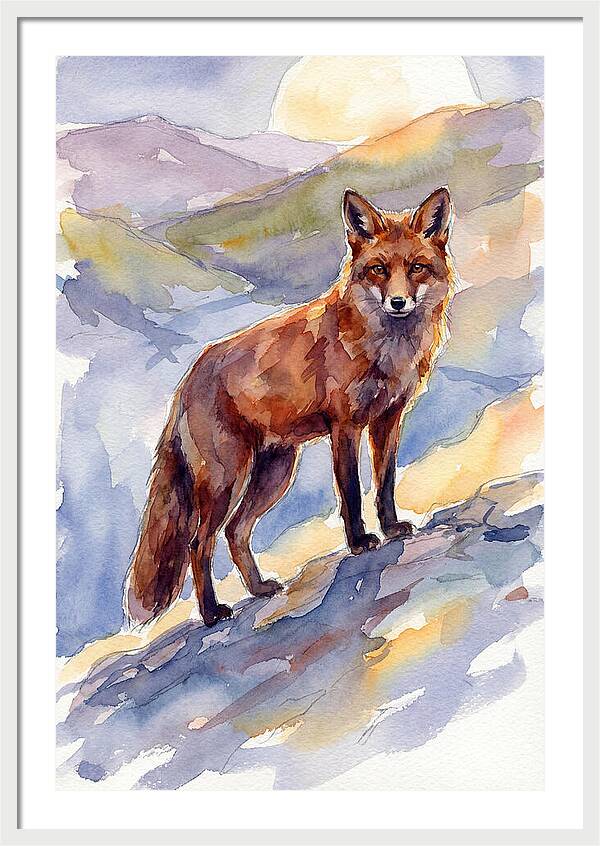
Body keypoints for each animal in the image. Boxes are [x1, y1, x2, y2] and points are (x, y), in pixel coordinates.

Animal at [125, 187, 456, 627]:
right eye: (378, 270)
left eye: (417, 267)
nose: (398, 302)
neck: (385, 349)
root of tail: (188, 379)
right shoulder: (345, 426)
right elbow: (351, 491)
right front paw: (359, 542)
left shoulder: (388, 419)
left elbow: (384, 483)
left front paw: (391, 528)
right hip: (226, 478)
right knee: (199, 541)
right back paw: (212, 613)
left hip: (275, 472)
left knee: (236, 532)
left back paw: (259, 588)